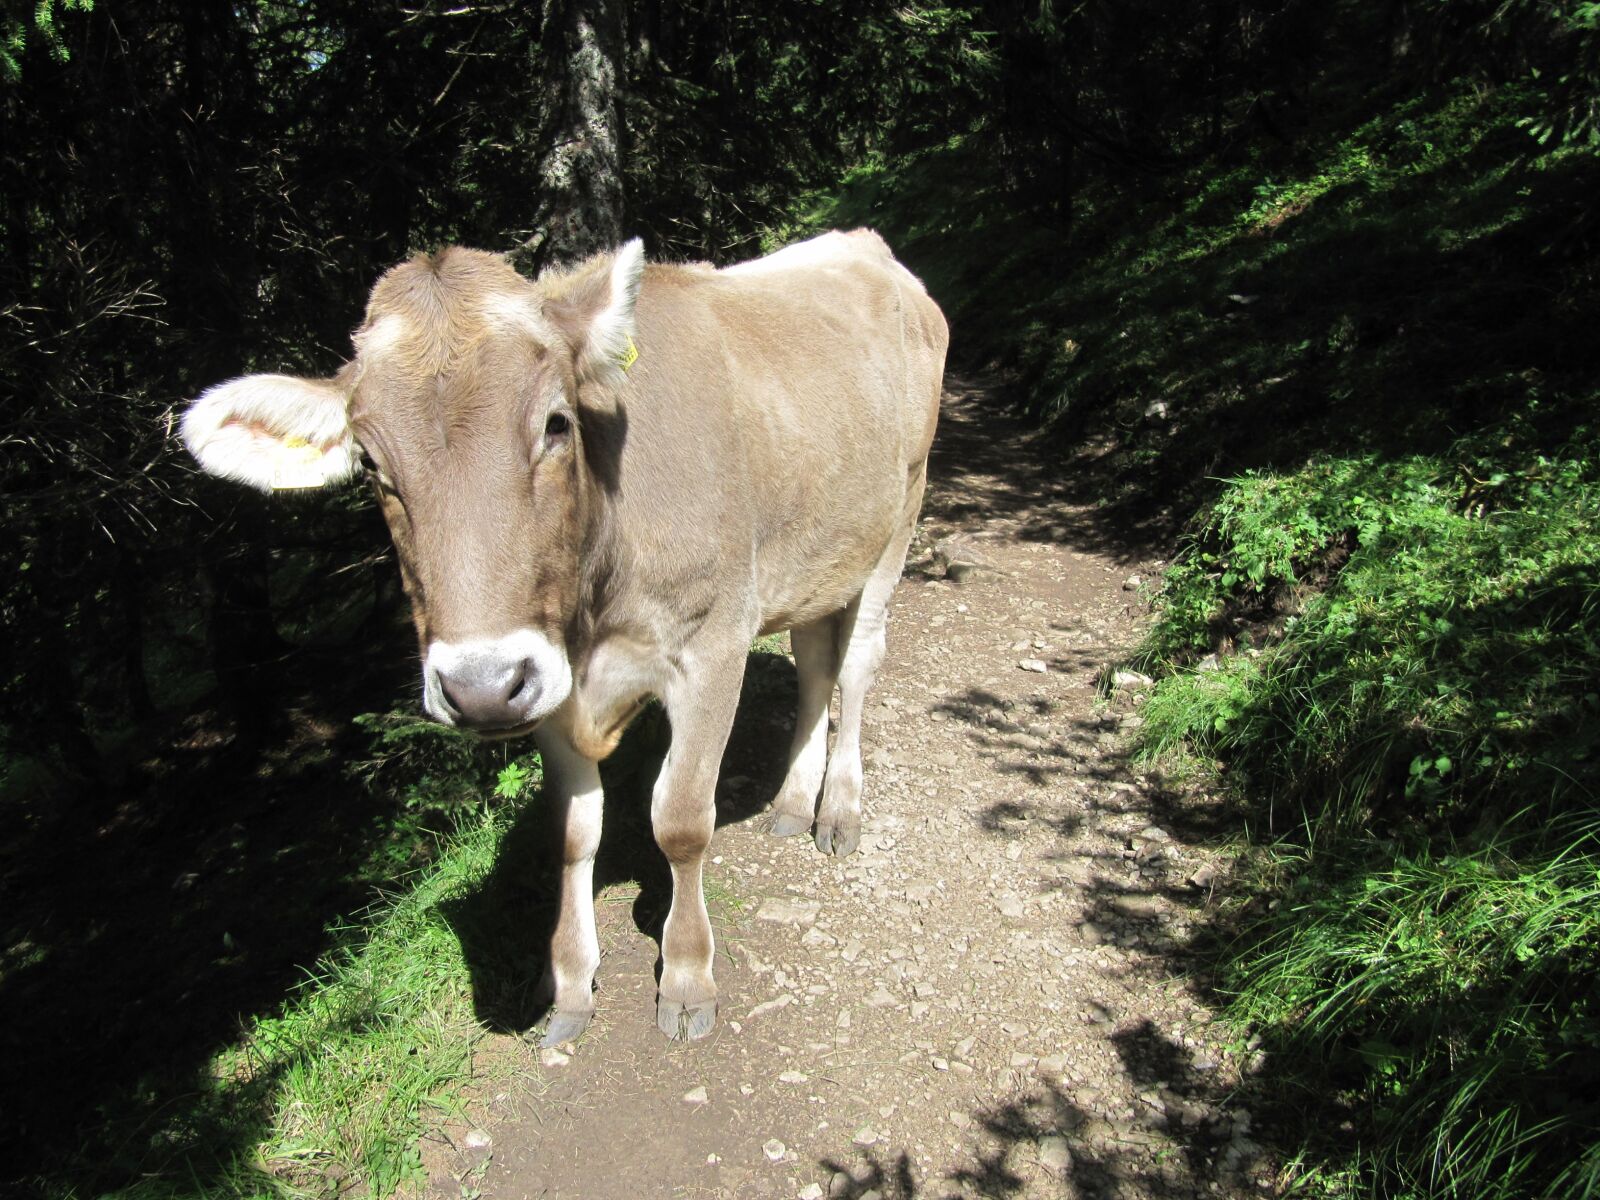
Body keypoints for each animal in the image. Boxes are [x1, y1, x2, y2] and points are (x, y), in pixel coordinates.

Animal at [180, 230, 940, 1049]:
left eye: (555, 423)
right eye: (373, 464)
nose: (479, 685)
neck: (595, 611)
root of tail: (862, 243)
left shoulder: (712, 646)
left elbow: (681, 820)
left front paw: (687, 977)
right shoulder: (547, 683)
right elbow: (574, 834)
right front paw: (572, 984)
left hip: (902, 512)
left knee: (856, 665)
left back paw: (838, 810)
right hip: (813, 555)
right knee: (813, 664)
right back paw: (795, 801)